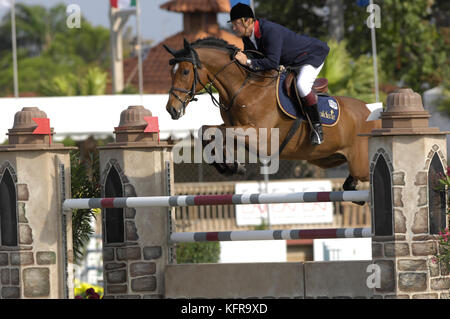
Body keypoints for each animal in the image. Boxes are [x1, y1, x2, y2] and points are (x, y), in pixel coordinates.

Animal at [163, 38, 382, 198]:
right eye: (171, 73)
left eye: (185, 71)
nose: (171, 109)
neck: (245, 88)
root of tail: (370, 112)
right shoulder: (234, 126)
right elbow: (207, 130)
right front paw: (229, 166)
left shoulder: (259, 137)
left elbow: (216, 131)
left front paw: (230, 165)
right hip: (330, 159)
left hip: (360, 164)